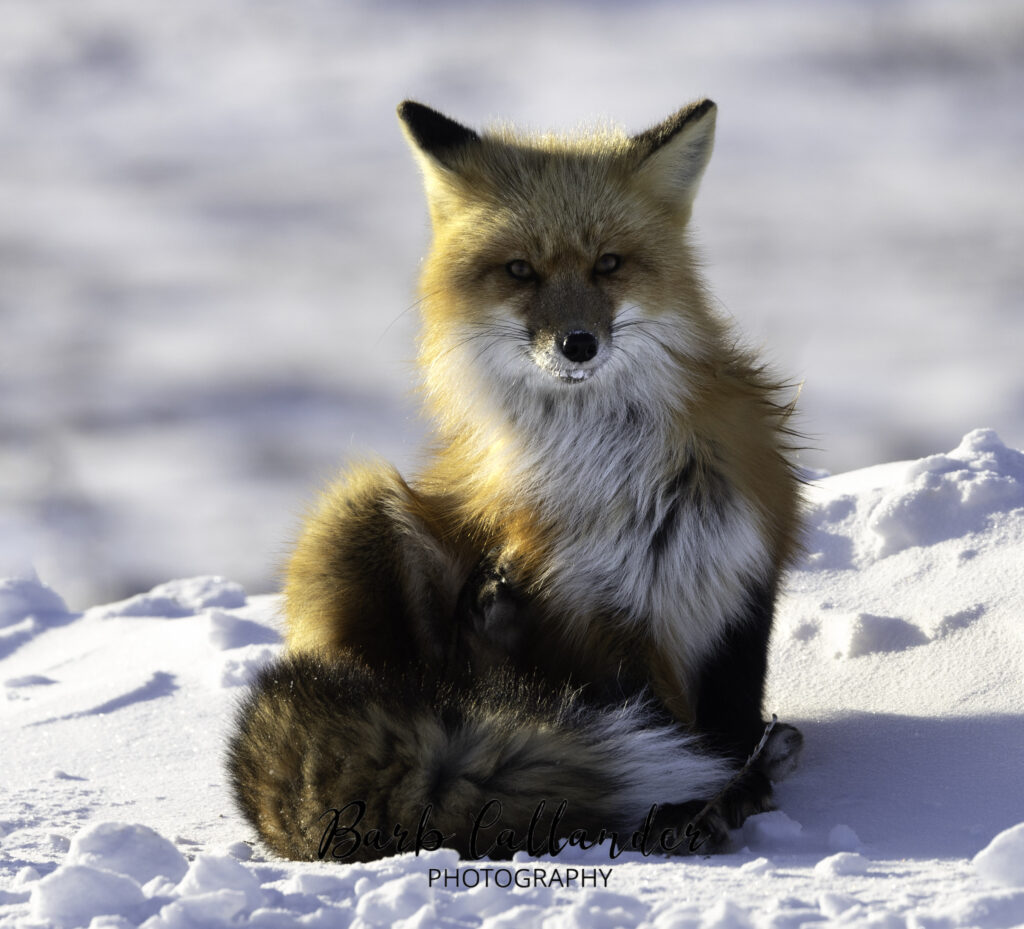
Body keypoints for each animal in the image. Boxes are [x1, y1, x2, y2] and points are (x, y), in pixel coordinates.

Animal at [227, 98, 805, 862]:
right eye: (520, 271)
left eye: (609, 264)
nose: (578, 344)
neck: (607, 468)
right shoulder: (598, 616)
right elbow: (659, 724)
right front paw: (692, 808)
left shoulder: (736, 578)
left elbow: (727, 724)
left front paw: (730, 793)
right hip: (355, 512)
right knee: (452, 684)